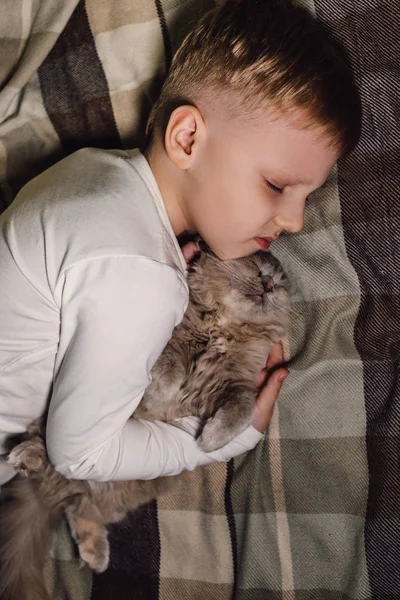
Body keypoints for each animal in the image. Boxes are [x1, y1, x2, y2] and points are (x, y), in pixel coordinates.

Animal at [0, 245, 290, 600]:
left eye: (278, 283)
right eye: (256, 267)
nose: (267, 285)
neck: (224, 326)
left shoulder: (230, 387)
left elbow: (243, 406)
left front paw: (211, 438)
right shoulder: (170, 340)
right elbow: (171, 361)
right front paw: (162, 390)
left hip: (125, 490)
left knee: (79, 509)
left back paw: (95, 555)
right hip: (56, 424)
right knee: (44, 451)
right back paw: (27, 456)